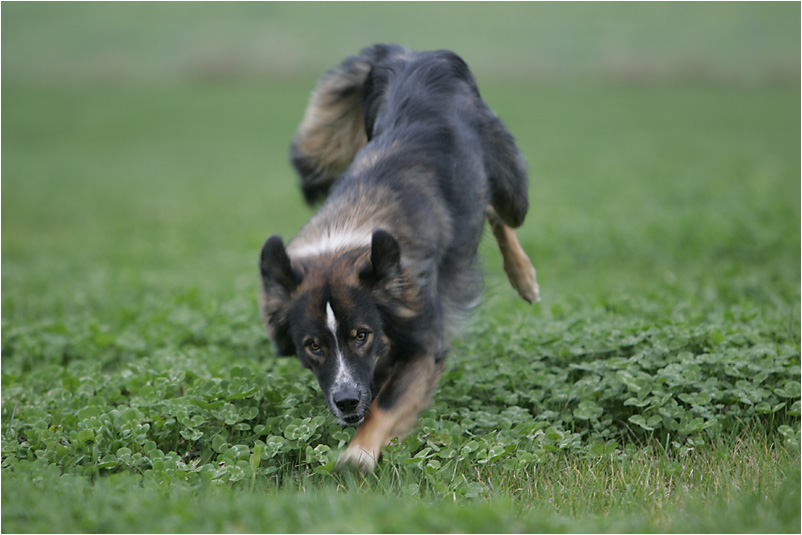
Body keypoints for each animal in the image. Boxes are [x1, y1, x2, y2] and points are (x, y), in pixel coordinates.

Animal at [260, 44, 540, 472]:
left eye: (361, 335)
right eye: (313, 346)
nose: (345, 402)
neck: (348, 238)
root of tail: (409, 53)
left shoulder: (423, 340)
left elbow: (386, 405)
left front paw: (358, 455)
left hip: (511, 187)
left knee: (495, 206)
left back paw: (524, 277)